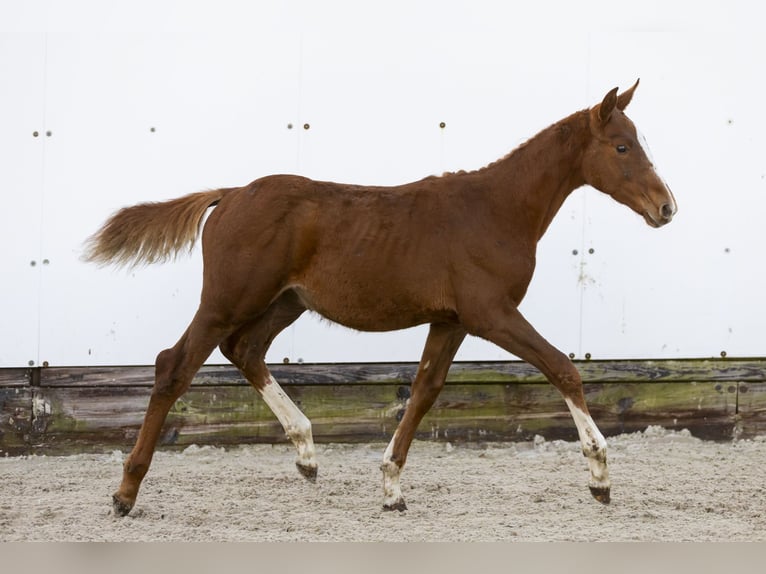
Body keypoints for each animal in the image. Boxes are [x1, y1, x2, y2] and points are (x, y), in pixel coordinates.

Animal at [85, 81, 680, 516]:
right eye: (622, 146)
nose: (667, 207)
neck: (495, 208)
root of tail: (228, 195)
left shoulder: (452, 320)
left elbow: (423, 392)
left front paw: (392, 487)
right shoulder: (492, 314)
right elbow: (563, 368)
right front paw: (600, 476)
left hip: (286, 301)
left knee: (245, 351)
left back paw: (306, 454)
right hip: (227, 300)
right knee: (174, 365)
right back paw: (125, 493)